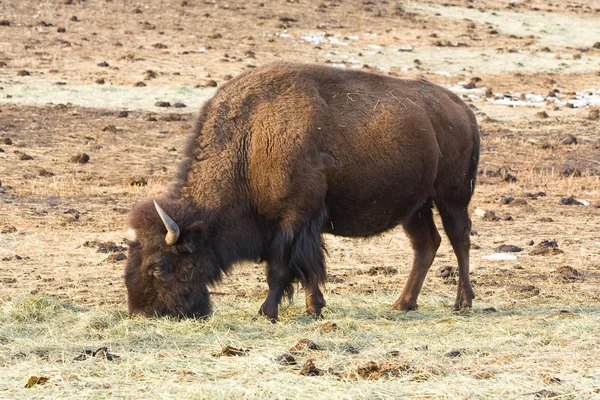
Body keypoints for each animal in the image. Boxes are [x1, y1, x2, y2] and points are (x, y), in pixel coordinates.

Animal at [124, 61, 480, 320]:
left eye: (157, 266)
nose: (142, 313)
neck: (250, 141)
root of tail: (462, 109)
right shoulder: (302, 226)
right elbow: (308, 268)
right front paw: (314, 307)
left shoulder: (294, 218)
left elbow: (281, 268)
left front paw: (267, 311)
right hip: (416, 207)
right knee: (426, 245)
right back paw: (403, 303)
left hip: (451, 197)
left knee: (459, 240)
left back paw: (462, 302)